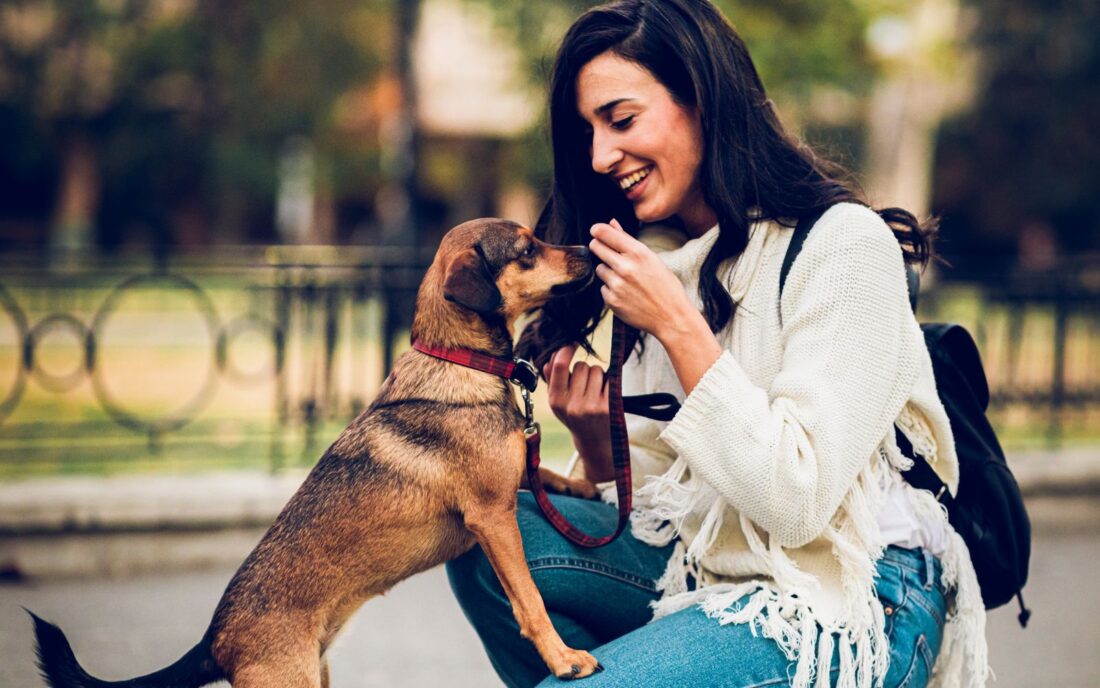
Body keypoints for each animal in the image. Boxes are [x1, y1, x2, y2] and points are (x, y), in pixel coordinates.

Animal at [30, 220, 607, 686]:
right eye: (528, 249)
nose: (588, 244)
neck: (458, 361)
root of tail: (214, 640)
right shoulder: (492, 517)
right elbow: (529, 600)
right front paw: (564, 659)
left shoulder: (510, 479)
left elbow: (540, 470)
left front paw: (583, 484)